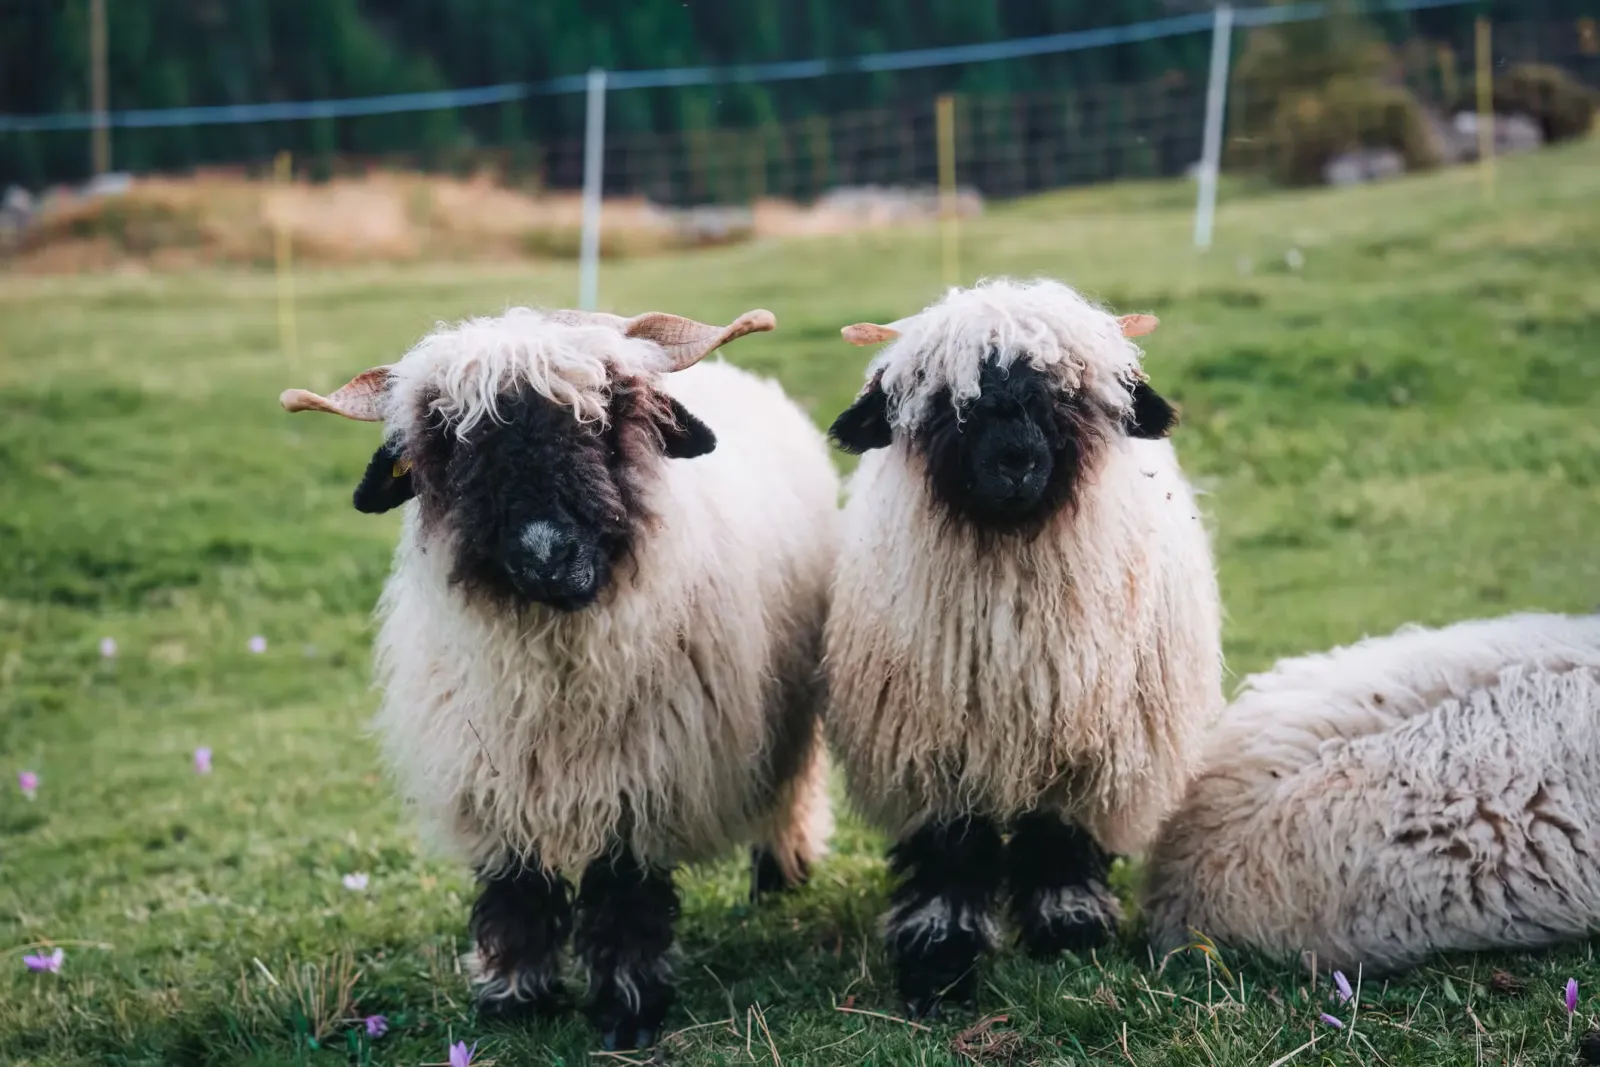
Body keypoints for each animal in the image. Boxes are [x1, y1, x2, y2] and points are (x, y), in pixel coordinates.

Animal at [278, 304, 837, 1049]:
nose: (545, 554)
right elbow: (516, 889)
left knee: (792, 783)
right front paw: (515, 997)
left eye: (604, 421)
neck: (555, 670)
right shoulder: (495, 780)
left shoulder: (641, 779)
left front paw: (628, 1009)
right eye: (452, 448)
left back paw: (781, 871)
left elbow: (624, 894)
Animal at [821, 277, 1224, 1016]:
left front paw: (1069, 935)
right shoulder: (934, 749)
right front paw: (940, 963)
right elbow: (950, 853)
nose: (1015, 462)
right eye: (949, 404)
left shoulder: (1087, 745)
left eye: (1067, 395)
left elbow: (1059, 839)